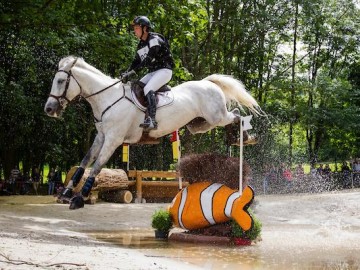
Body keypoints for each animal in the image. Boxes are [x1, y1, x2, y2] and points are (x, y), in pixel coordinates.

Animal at [44, 56, 262, 209]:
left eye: (61, 81)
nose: (49, 109)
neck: (107, 98)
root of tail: (208, 82)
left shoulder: (114, 139)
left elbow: (97, 166)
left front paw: (79, 198)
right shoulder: (101, 136)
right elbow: (85, 161)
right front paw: (67, 192)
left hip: (216, 116)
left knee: (236, 115)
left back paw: (243, 137)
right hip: (199, 124)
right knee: (232, 115)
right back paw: (237, 137)